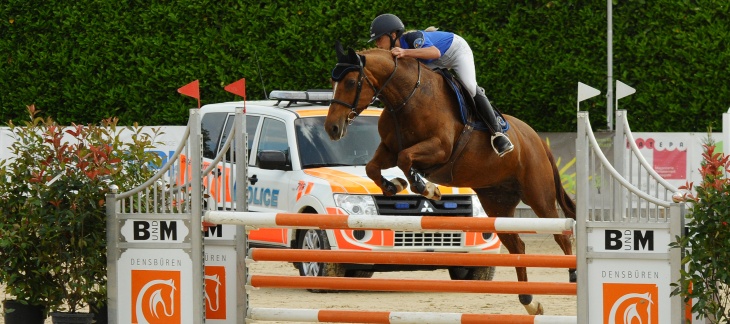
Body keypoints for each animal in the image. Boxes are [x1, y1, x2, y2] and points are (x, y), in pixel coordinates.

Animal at [324, 44, 576, 316]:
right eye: (332, 82)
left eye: (351, 82)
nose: (332, 128)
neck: (405, 100)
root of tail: (537, 139)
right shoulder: (388, 149)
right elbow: (373, 167)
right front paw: (395, 185)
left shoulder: (439, 148)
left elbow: (405, 158)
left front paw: (427, 188)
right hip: (497, 201)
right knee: (517, 245)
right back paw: (529, 301)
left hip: (538, 195)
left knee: (561, 234)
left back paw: (572, 277)